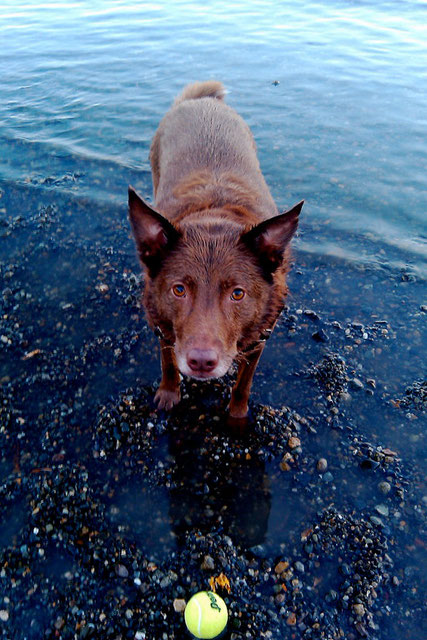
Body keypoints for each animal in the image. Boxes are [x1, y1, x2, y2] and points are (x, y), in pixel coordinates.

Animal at [128, 82, 304, 428]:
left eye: (238, 294)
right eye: (178, 289)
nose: (201, 362)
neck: (215, 216)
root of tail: (201, 101)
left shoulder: (259, 340)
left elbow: (243, 383)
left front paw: (236, 415)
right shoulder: (163, 328)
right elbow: (168, 363)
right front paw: (169, 393)